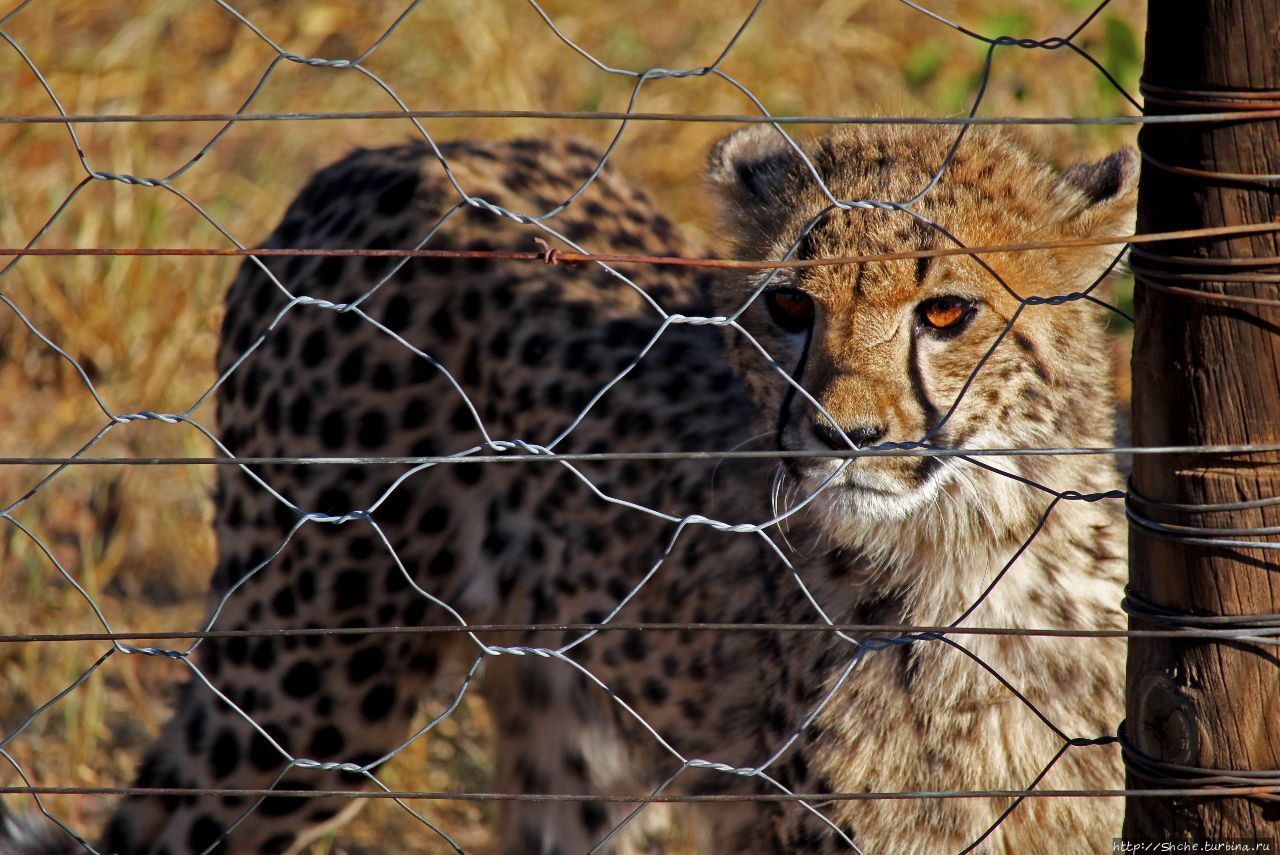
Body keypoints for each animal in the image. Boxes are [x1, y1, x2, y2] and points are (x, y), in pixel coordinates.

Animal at [5, 121, 1136, 855]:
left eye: (945, 312)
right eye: (787, 307)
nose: (839, 435)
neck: (968, 553)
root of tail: (389, 152)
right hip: (315, 672)